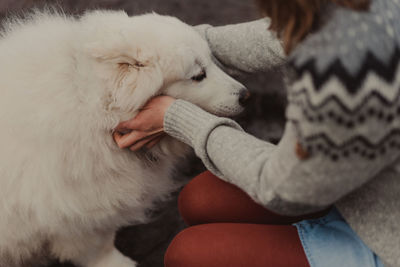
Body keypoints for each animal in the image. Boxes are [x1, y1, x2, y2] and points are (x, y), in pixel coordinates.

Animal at [0, 8, 247, 267]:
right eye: (198, 75)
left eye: (211, 60)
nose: (245, 95)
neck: (92, 106)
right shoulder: (79, 209)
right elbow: (96, 245)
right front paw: (117, 262)